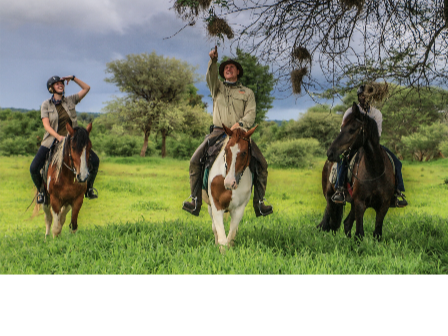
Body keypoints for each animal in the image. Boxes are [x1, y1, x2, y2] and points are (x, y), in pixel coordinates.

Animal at [318, 102, 396, 239]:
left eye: (352, 129)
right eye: (342, 127)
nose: (330, 153)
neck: (375, 170)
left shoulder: (384, 205)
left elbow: (377, 233)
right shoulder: (360, 203)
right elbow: (359, 233)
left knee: (345, 223)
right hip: (330, 199)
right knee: (329, 223)